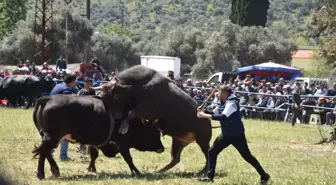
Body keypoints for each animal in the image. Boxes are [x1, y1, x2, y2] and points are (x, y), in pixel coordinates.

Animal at [32, 94, 163, 180]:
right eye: (154, 132)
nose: (162, 148)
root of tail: (49, 98)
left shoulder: (94, 142)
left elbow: (93, 154)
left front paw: (91, 169)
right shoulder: (123, 144)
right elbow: (128, 158)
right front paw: (136, 171)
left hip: (51, 137)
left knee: (45, 151)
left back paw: (54, 170)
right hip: (52, 137)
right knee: (44, 150)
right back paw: (41, 173)